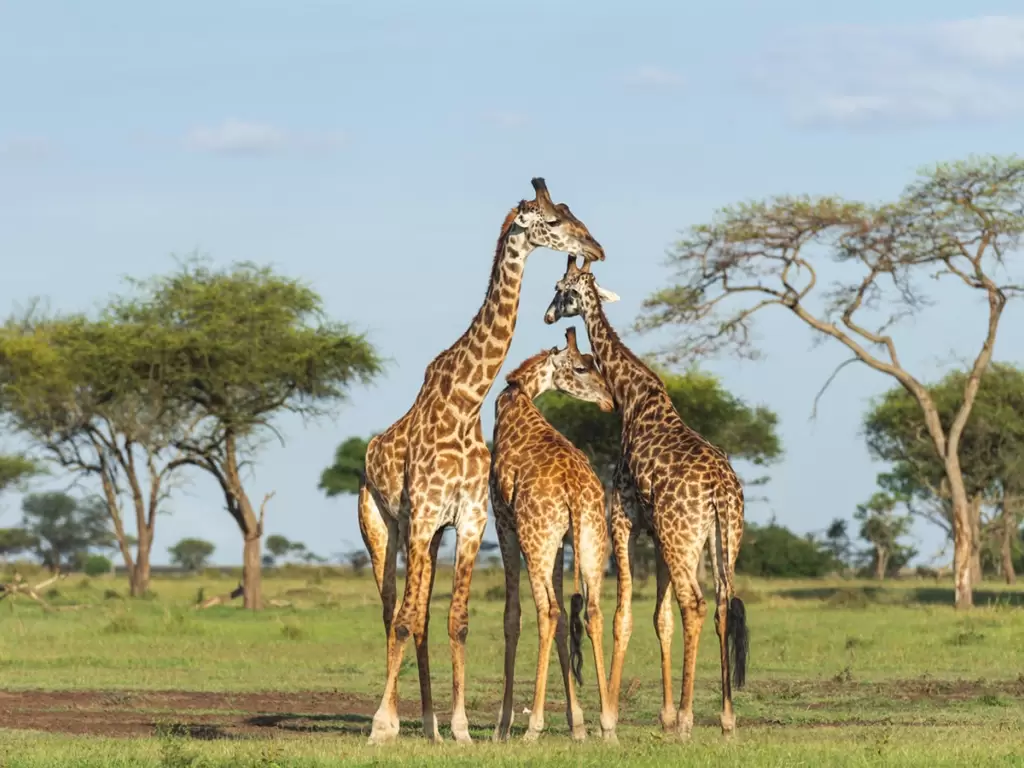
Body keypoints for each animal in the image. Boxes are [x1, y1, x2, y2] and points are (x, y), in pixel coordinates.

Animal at [489, 326, 615, 744]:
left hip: (536, 538)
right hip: (591, 539)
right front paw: (578, 723)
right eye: (582, 366)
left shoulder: (504, 523)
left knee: (548, 611)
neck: (517, 400)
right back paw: (608, 725)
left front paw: (503, 724)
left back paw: (532, 726)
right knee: (591, 611)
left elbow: (513, 615)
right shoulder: (561, 541)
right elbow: (565, 624)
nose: (610, 400)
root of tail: (574, 490)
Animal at [543, 257, 749, 742]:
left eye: (561, 288)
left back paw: (692, 720)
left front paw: (610, 717)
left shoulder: (624, 517)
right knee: (721, 606)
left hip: (682, 535)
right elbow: (661, 618)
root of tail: (720, 491)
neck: (633, 400)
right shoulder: (656, 533)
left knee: (695, 604)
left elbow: (624, 616)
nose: (547, 315)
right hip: (718, 538)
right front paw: (665, 714)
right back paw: (726, 718)